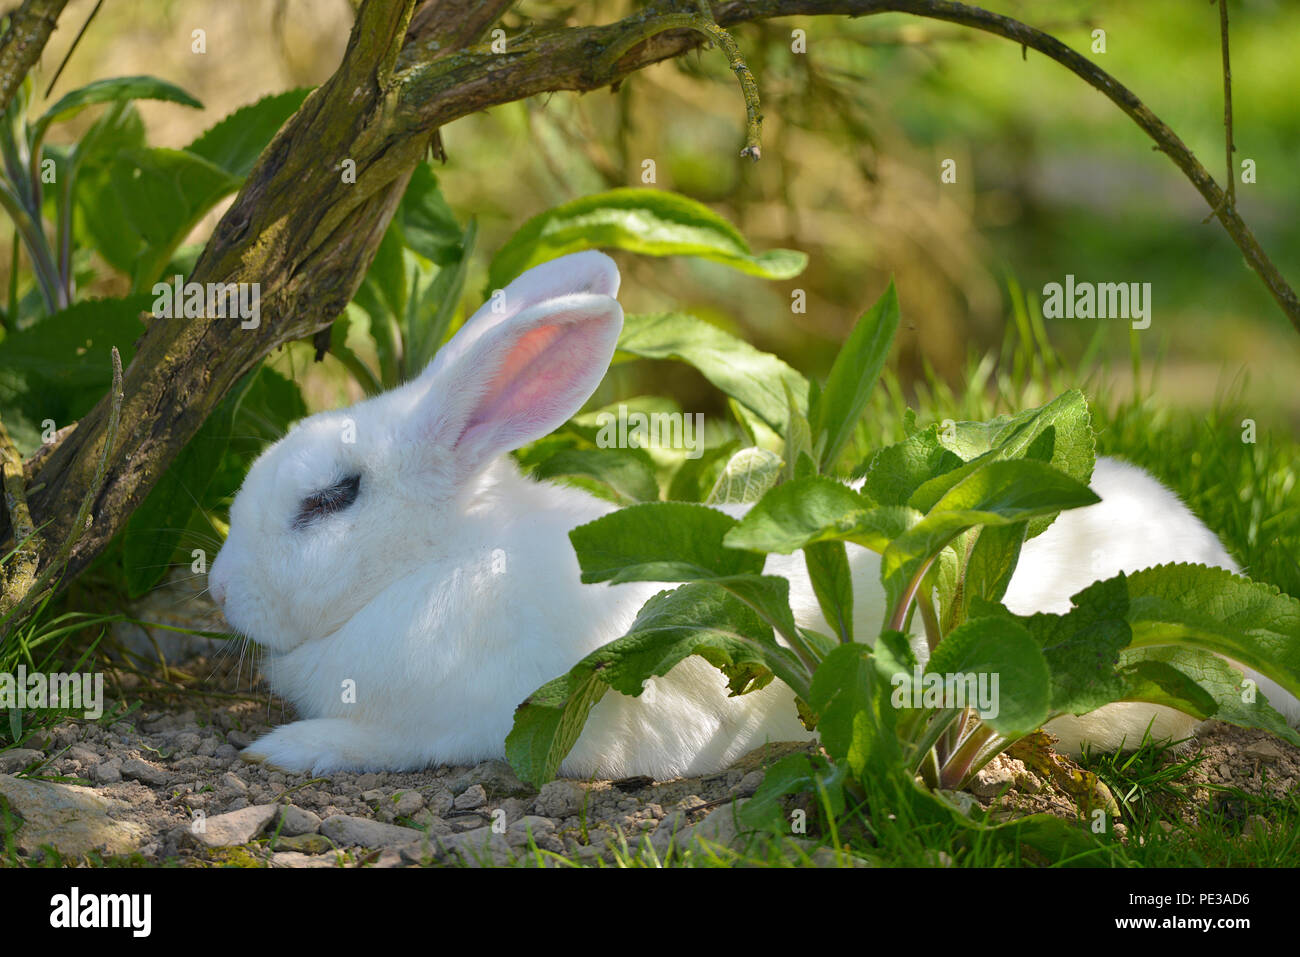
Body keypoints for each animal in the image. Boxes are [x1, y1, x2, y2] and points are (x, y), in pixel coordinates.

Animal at [207, 250, 1298, 778]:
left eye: (331, 499)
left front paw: (291, 750)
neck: (436, 565)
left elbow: (387, 743)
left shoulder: (471, 721)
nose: (218, 591)